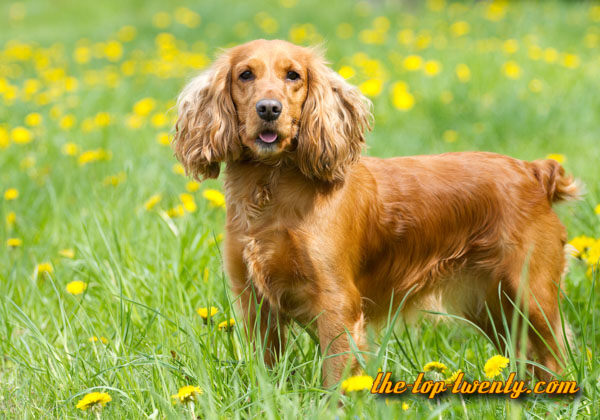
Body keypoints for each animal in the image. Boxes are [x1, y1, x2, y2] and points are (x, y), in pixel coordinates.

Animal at [172, 39, 576, 388]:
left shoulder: (337, 304)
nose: (269, 108)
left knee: (556, 356)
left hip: (531, 294)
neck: (271, 189)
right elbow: (267, 371)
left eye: (293, 75)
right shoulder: (255, 302)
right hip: (492, 306)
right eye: (245, 74)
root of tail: (534, 171)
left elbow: (336, 378)